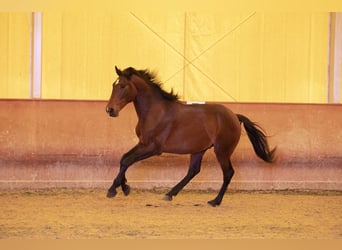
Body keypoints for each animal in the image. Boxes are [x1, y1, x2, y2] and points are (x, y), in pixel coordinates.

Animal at [105, 65, 276, 206]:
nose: (110, 110)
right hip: (199, 150)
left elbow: (127, 160)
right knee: (193, 170)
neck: (155, 111)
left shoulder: (153, 147)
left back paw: (215, 201)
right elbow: (124, 158)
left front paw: (113, 190)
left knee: (228, 173)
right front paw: (125, 187)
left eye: (122, 86)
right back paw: (169, 194)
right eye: (113, 85)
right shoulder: (142, 143)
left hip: (222, 151)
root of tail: (235, 116)